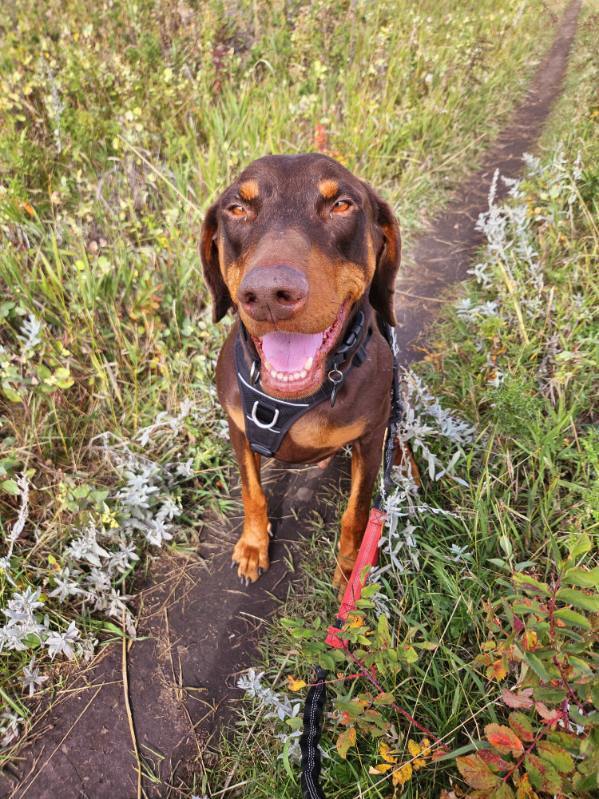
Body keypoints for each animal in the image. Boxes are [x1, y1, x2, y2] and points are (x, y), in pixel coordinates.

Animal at [202, 156, 404, 592]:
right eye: (236, 209)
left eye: (342, 205)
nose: (267, 295)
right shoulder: (239, 428)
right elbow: (252, 492)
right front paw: (253, 546)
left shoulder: (370, 437)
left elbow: (357, 511)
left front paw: (352, 571)